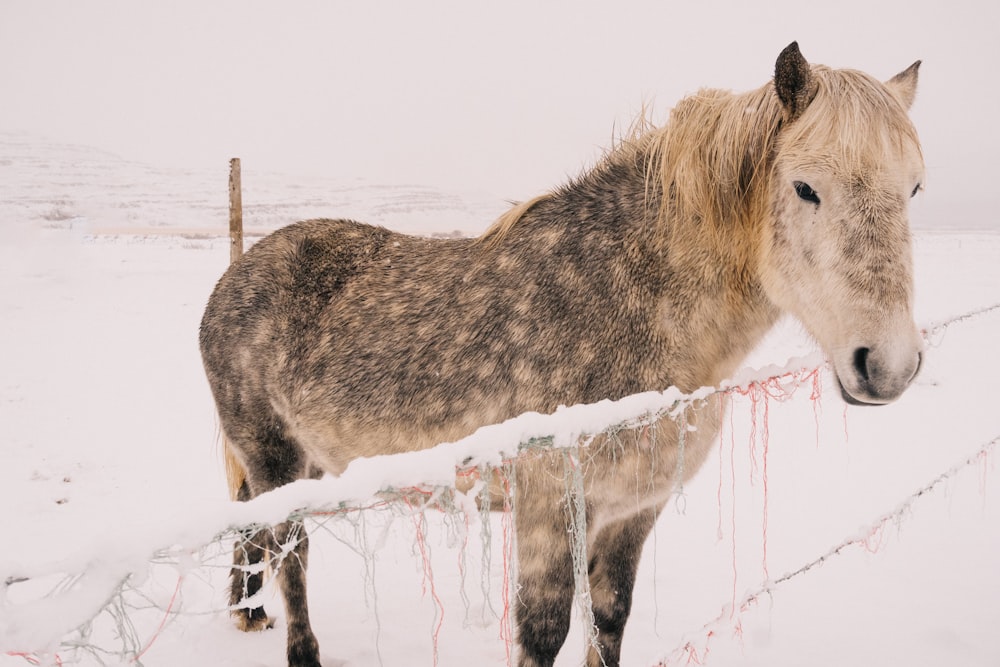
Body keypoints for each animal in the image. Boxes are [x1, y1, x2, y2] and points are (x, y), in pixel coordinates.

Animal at [199, 43, 924, 667]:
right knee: (292, 556)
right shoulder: (549, 503)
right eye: (805, 187)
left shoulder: (632, 509)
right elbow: (544, 630)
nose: (888, 364)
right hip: (274, 458)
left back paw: (248, 611)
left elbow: (609, 618)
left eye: (913, 189)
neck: (627, 302)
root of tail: (234, 276)